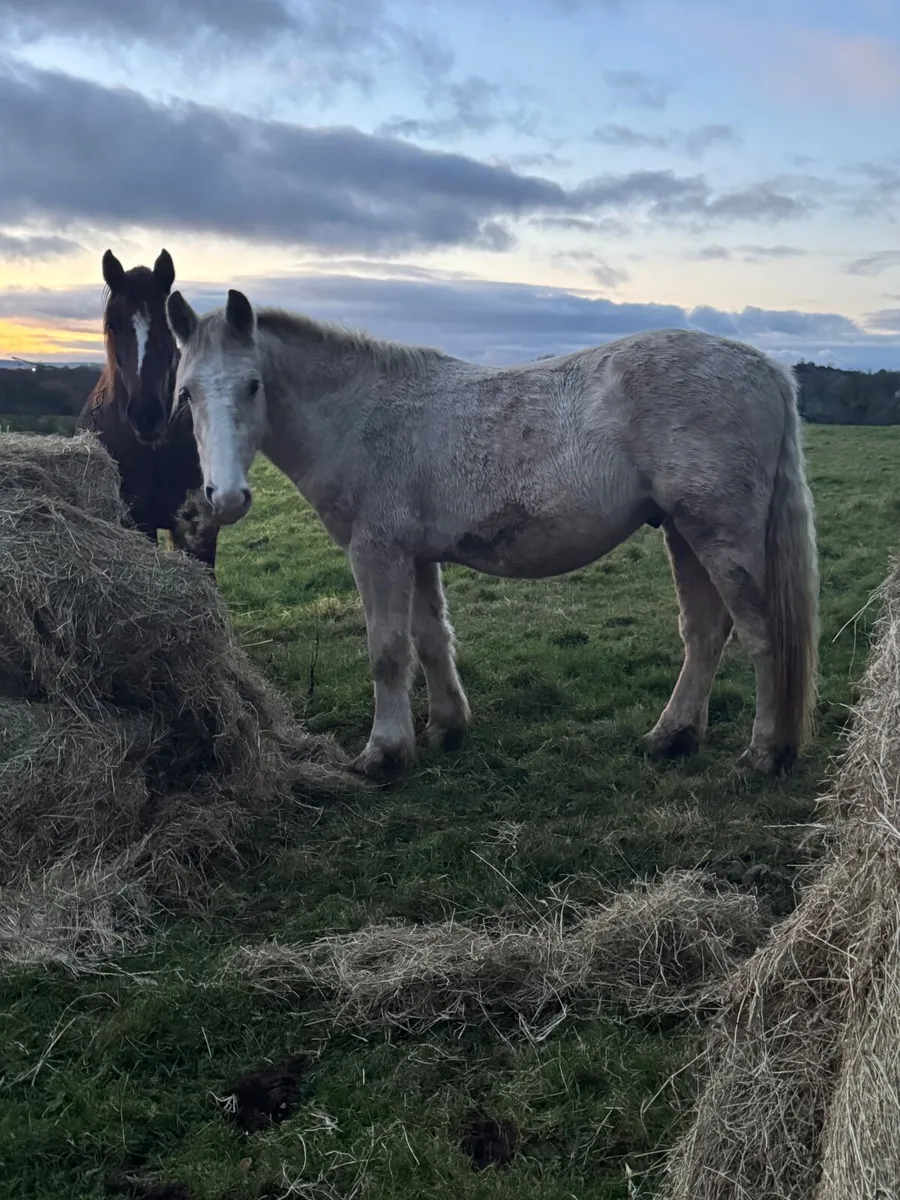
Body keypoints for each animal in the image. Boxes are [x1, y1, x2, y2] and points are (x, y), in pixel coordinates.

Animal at [165, 287, 819, 780]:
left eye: (252, 384)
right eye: (186, 392)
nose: (225, 498)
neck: (361, 414)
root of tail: (770, 371)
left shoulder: (378, 553)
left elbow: (387, 651)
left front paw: (384, 752)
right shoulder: (416, 556)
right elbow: (431, 640)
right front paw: (445, 728)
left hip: (719, 536)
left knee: (761, 636)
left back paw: (764, 753)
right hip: (683, 533)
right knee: (705, 633)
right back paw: (672, 736)